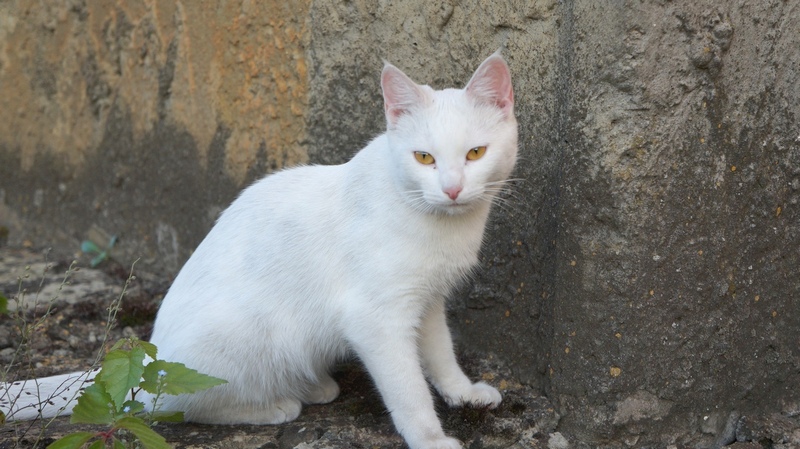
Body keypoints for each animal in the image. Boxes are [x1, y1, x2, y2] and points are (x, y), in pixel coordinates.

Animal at [1, 53, 520, 448]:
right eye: (424, 157)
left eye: (475, 153)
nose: (451, 189)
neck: (438, 222)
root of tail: (152, 357)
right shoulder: (377, 318)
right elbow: (408, 388)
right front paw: (431, 439)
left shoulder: (427, 302)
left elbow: (440, 354)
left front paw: (463, 393)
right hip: (242, 336)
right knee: (172, 403)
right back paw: (273, 405)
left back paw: (314, 385)